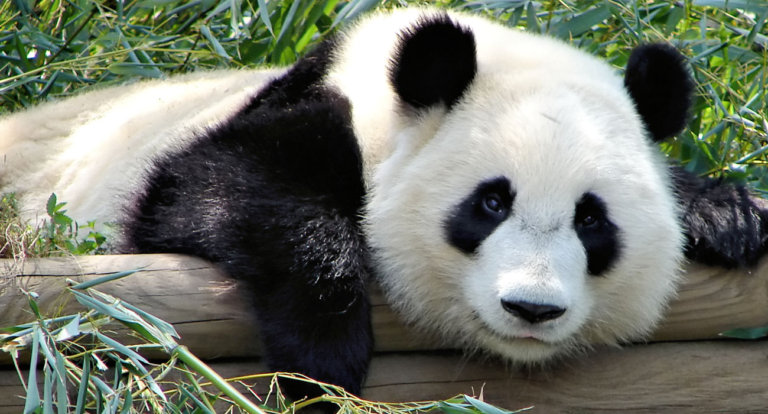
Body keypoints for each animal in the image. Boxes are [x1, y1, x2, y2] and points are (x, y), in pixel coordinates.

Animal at [2, 6, 767, 400]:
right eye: (491, 203)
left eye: (591, 220)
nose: (532, 308)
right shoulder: (289, 116)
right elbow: (211, 190)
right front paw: (324, 356)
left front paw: (729, 215)